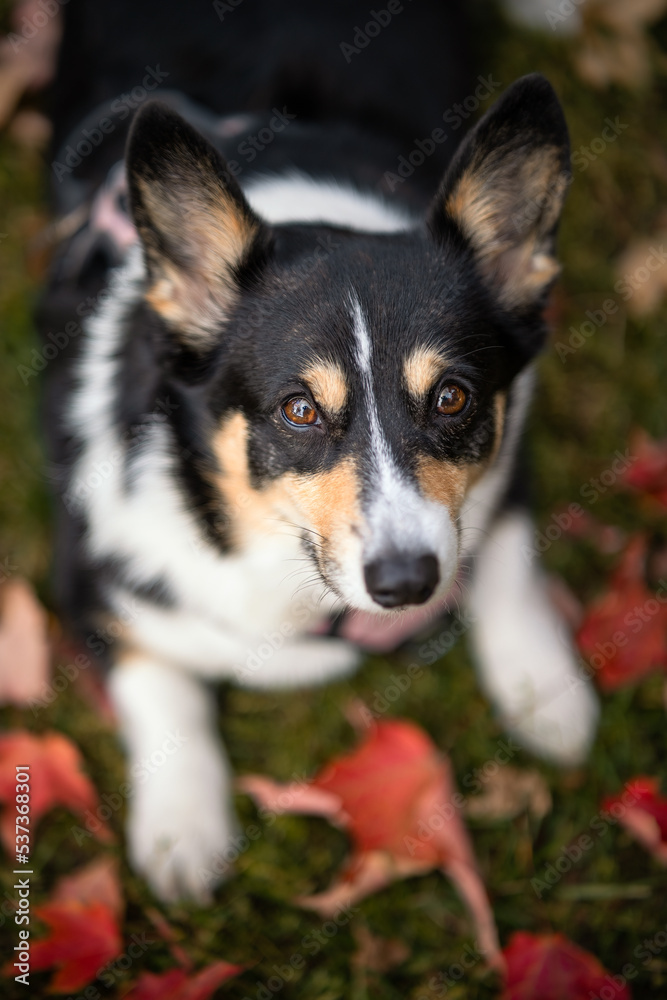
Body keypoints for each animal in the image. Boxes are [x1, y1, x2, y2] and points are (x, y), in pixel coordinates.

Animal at [39, 0, 596, 904]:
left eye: (452, 398)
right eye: (300, 411)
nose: (407, 585)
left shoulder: (506, 465)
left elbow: (508, 565)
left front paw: (548, 698)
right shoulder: (92, 579)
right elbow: (159, 681)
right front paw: (183, 832)